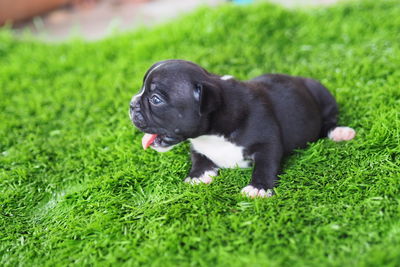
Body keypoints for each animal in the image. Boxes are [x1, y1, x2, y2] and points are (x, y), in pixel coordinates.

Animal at [130, 60, 354, 199]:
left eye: (155, 99)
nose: (131, 104)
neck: (212, 134)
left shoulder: (268, 143)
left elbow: (266, 164)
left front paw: (258, 188)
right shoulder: (197, 146)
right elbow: (198, 157)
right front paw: (198, 175)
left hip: (321, 91)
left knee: (329, 120)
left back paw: (340, 132)